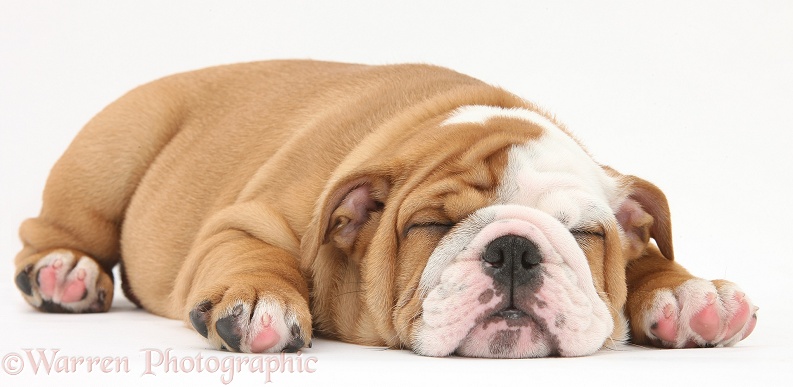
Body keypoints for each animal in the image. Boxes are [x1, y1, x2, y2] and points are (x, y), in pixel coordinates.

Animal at [12, 59, 756, 358]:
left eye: (582, 234)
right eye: (428, 226)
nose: (515, 249)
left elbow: (649, 258)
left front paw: (688, 292)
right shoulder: (249, 220)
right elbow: (253, 252)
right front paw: (260, 300)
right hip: (112, 151)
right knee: (51, 230)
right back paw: (63, 271)